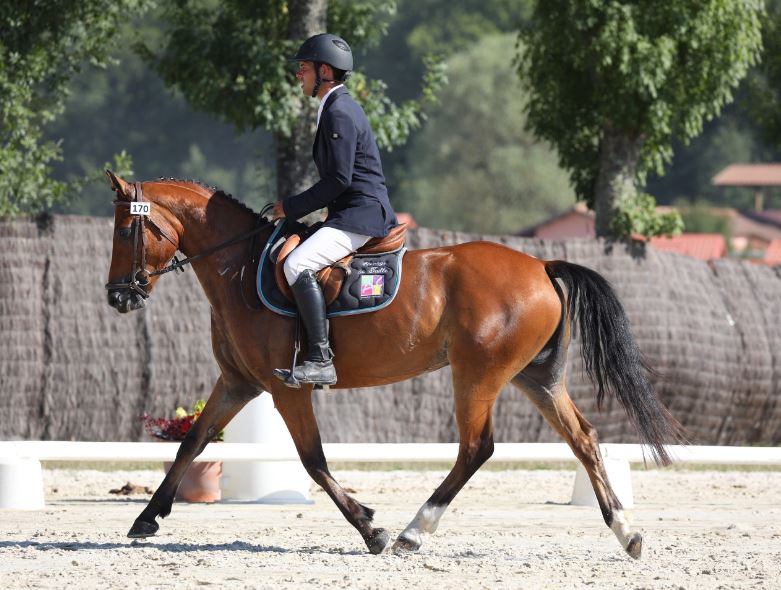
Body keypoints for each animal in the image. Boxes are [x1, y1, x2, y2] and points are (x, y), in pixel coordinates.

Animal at [102, 173, 676, 560]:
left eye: (127, 231)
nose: (117, 297)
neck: (240, 266)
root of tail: (540, 264)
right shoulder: (237, 382)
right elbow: (193, 442)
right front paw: (146, 519)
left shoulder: (288, 391)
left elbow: (313, 460)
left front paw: (370, 528)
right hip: (536, 377)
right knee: (583, 438)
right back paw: (627, 533)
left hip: (478, 375)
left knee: (477, 447)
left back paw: (411, 533)